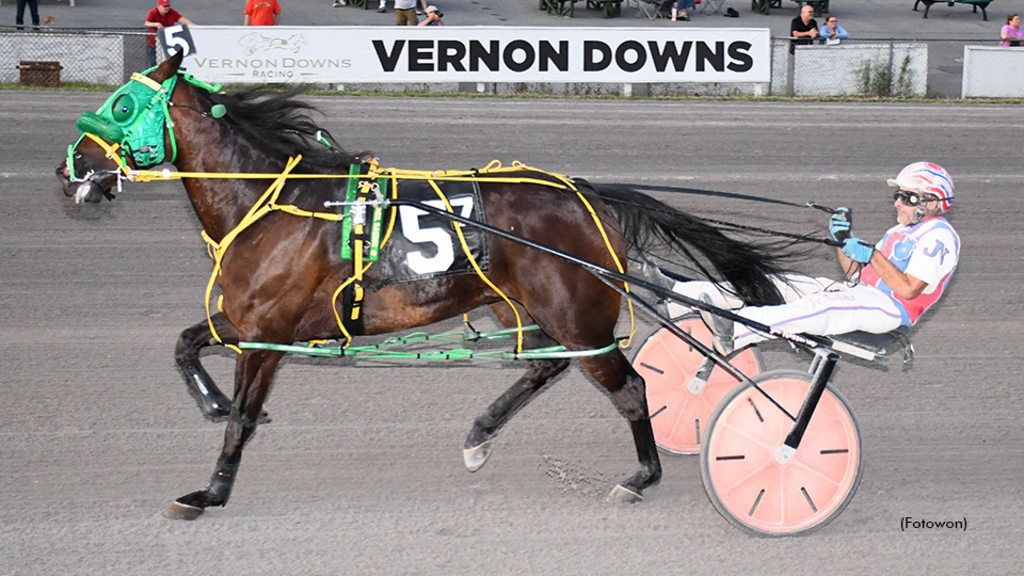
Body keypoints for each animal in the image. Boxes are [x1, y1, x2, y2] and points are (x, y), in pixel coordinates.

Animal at [64, 53, 786, 518]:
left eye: (121, 106)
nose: (67, 166)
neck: (272, 205)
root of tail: (587, 196)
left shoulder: (267, 332)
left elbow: (242, 416)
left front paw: (210, 492)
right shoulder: (247, 322)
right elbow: (186, 346)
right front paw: (212, 405)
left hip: (575, 314)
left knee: (630, 388)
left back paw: (639, 477)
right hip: (526, 309)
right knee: (544, 368)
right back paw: (478, 436)